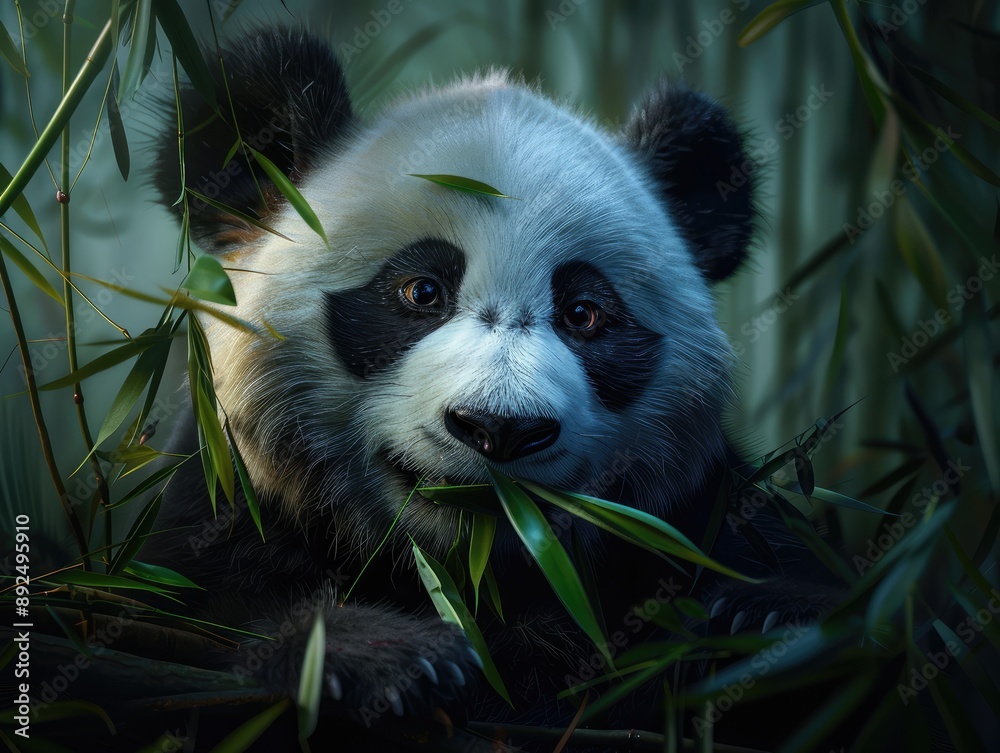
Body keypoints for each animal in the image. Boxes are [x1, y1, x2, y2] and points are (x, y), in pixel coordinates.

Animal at [144, 26, 834, 751]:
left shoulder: (695, 513)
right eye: (421, 291)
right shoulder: (227, 507)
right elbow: (206, 623)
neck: (481, 573)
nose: (500, 427)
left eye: (583, 312)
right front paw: (384, 659)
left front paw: (766, 622)